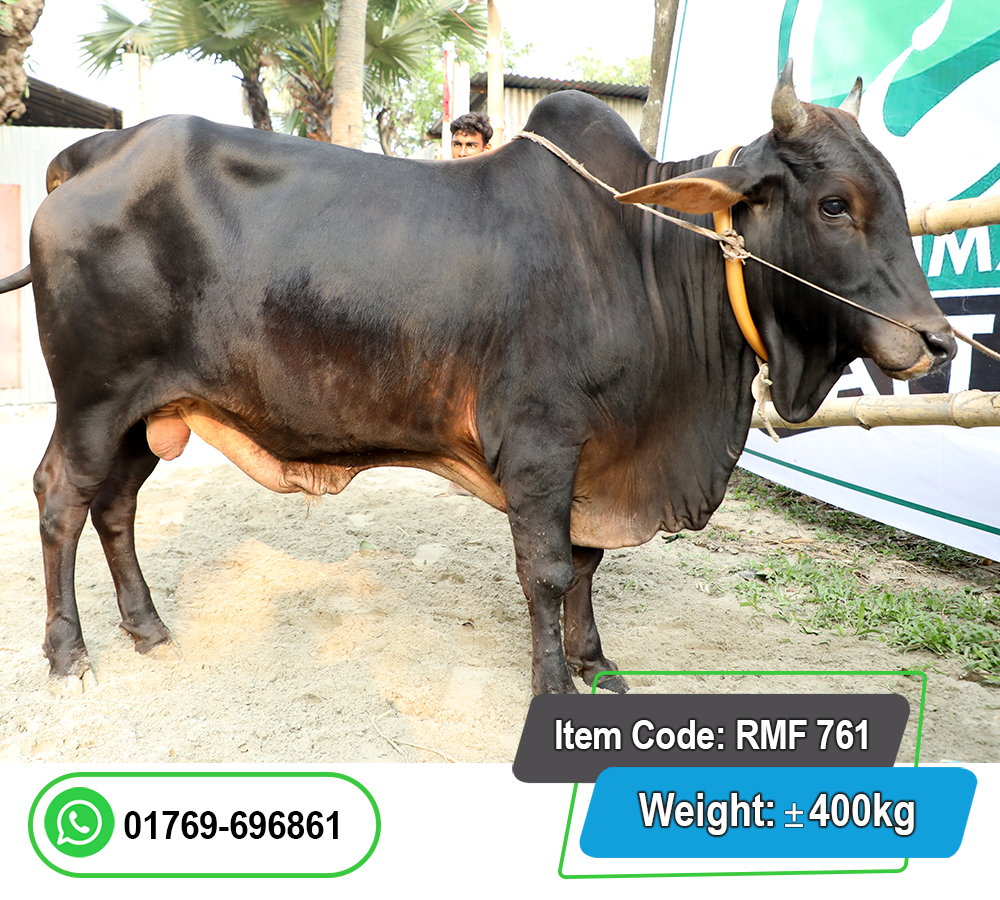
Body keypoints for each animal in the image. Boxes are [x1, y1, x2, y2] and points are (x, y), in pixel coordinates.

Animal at [0, 62, 955, 695]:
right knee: (60, 500)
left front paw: (595, 663)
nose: (938, 342)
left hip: (150, 410)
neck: (645, 255)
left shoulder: (594, 459)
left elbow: (589, 562)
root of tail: (93, 154)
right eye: (834, 204)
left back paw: (147, 628)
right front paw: (553, 685)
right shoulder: (540, 447)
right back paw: (69, 651)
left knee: (116, 507)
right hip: (92, 402)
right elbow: (550, 571)